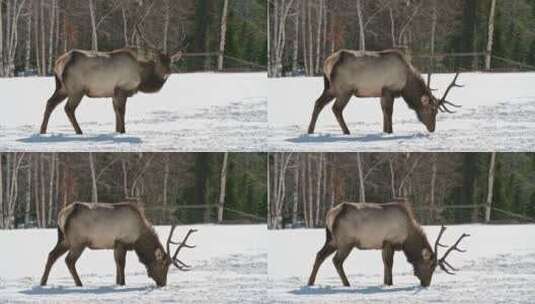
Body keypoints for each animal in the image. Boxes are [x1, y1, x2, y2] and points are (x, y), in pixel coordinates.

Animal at [38, 46, 183, 134]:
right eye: (159, 62)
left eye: (170, 62)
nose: (167, 73)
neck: (142, 78)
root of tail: (59, 62)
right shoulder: (122, 88)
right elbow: (121, 111)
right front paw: (123, 131)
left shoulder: (113, 93)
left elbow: (115, 111)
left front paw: (117, 131)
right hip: (76, 89)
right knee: (68, 108)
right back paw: (79, 131)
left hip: (62, 87)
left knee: (50, 103)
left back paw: (42, 131)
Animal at [40, 202, 197, 288]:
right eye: (163, 266)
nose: (163, 284)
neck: (139, 238)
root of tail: (62, 214)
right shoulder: (122, 241)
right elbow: (122, 264)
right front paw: (122, 283)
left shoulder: (115, 245)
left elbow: (116, 263)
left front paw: (117, 282)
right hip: (78, 241)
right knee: (69, 260)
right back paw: (79, 283)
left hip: (64, 240)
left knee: (51, 255)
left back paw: (43, 282)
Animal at [308, 50, 462, 134]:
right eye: (432, 110)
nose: (432, 128)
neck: (406, 83)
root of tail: (327, 62)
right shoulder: (389, 89)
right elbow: (389, 111)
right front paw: (390, 131)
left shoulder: (381, 92)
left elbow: (383, 111)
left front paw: (384, 131)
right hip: (344, 89)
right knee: (336, 109)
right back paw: (347, 132)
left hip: (330, 88)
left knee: (318, 103)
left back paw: (310, 131)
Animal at [308, 202, 472, 288]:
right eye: (430, 266)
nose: (426, 284)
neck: (408, 237)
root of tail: (331, 214)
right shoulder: (390, 241)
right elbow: (389, 263)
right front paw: (390, 283)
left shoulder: (383, 244)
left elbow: (385, 264)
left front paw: (385, 283)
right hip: (346, 241)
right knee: (336, 260)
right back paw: (347, 284)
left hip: (332, 240)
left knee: (319, 255)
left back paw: (310, 282)